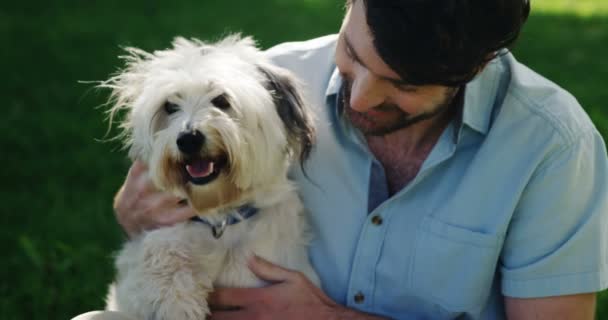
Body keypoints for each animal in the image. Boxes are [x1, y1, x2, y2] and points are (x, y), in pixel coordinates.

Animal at [99, 35, 318, 320]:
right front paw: (179, 301)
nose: (188, 139)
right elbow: (162, 256)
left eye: (222, 100)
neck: (221, 219)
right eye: (169, 106)